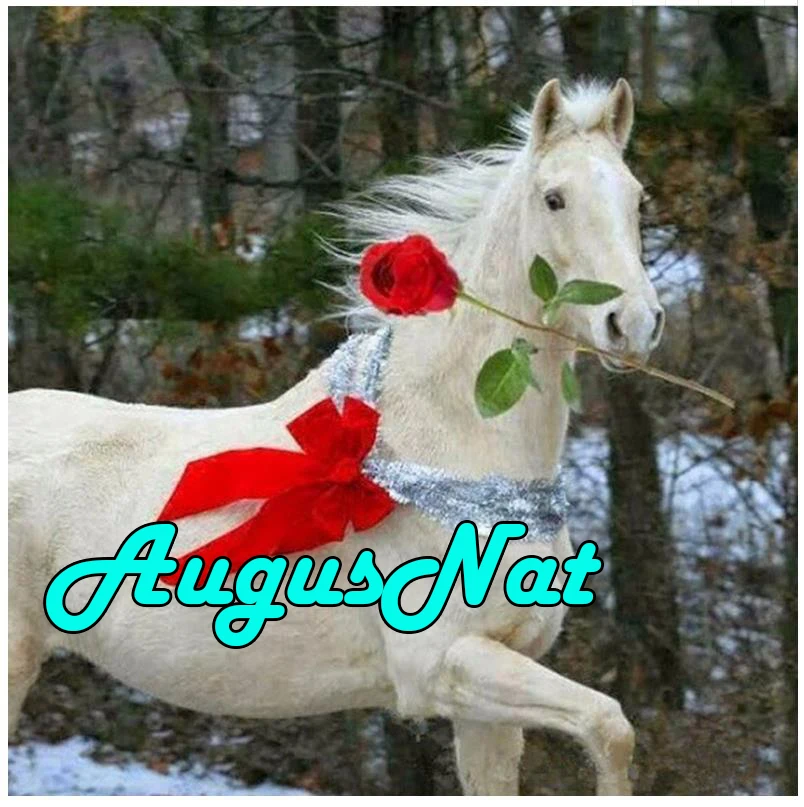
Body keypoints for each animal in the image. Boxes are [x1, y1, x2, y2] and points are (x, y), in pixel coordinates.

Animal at [9, 78, 664, 795]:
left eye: (637, 197)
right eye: (554, 198)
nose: (634, 324)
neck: (452, 448)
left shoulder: (491, 694)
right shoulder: (440, 665)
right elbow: (610, 724)